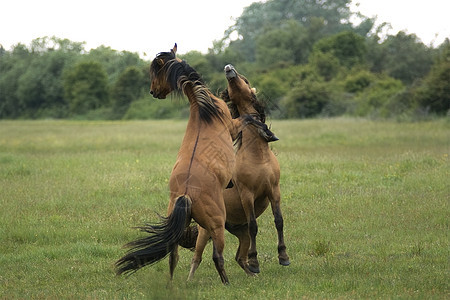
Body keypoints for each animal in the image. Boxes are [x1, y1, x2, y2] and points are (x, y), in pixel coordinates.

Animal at [114, 44, 264, 284]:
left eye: (156, 73)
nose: (152, 92)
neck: (205, 108)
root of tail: (185, 194)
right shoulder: (233, 126)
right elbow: (247, 118)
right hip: (216, 224)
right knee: (217, 256)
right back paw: (227, 284)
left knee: (172, 256)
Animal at [222, 64, 292, 276]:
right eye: (228, 89)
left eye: (245, 80)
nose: (228, 68)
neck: (258, 157)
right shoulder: (247, 195)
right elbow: (254, 225)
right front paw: (254, 261)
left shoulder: (274, 190)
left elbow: (279, 220)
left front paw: (284, 256)